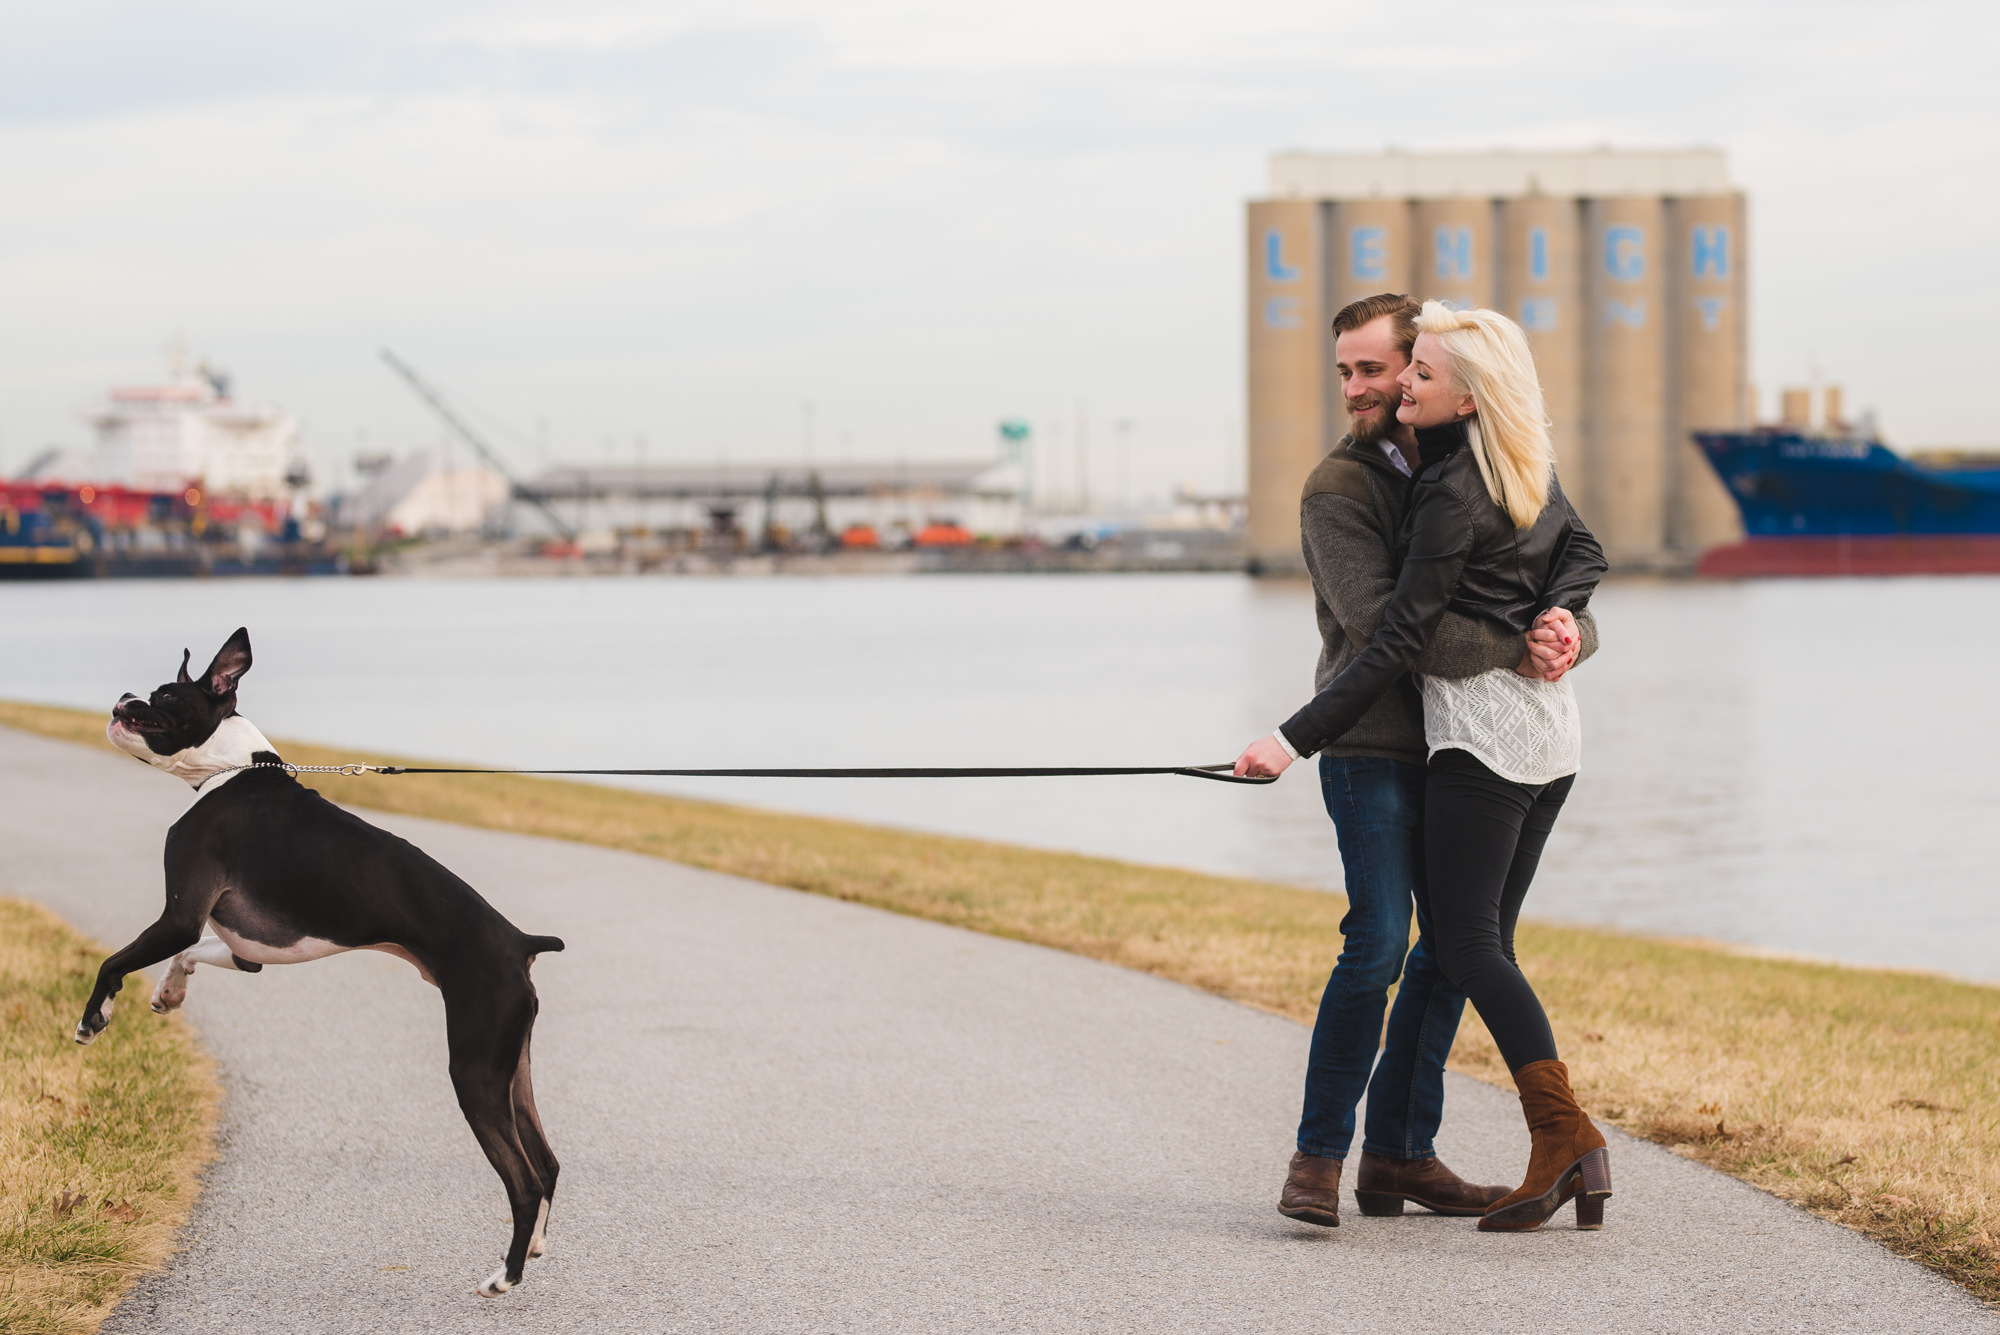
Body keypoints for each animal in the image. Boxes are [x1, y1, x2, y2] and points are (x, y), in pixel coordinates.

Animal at [83, 631, 568, 1295]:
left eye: (163, 697)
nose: (126, 696)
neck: (232, 768)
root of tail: (519, 941)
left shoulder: (179, 914)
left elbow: (115, 961)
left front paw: (93, 1017)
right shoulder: (244, 951)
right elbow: (187, 954)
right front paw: (168, 992)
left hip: (474, 1073)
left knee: (523, 1178)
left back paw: (505, 1275)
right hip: (511, 1067)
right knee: (548, 1163)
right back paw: (536, 1248)